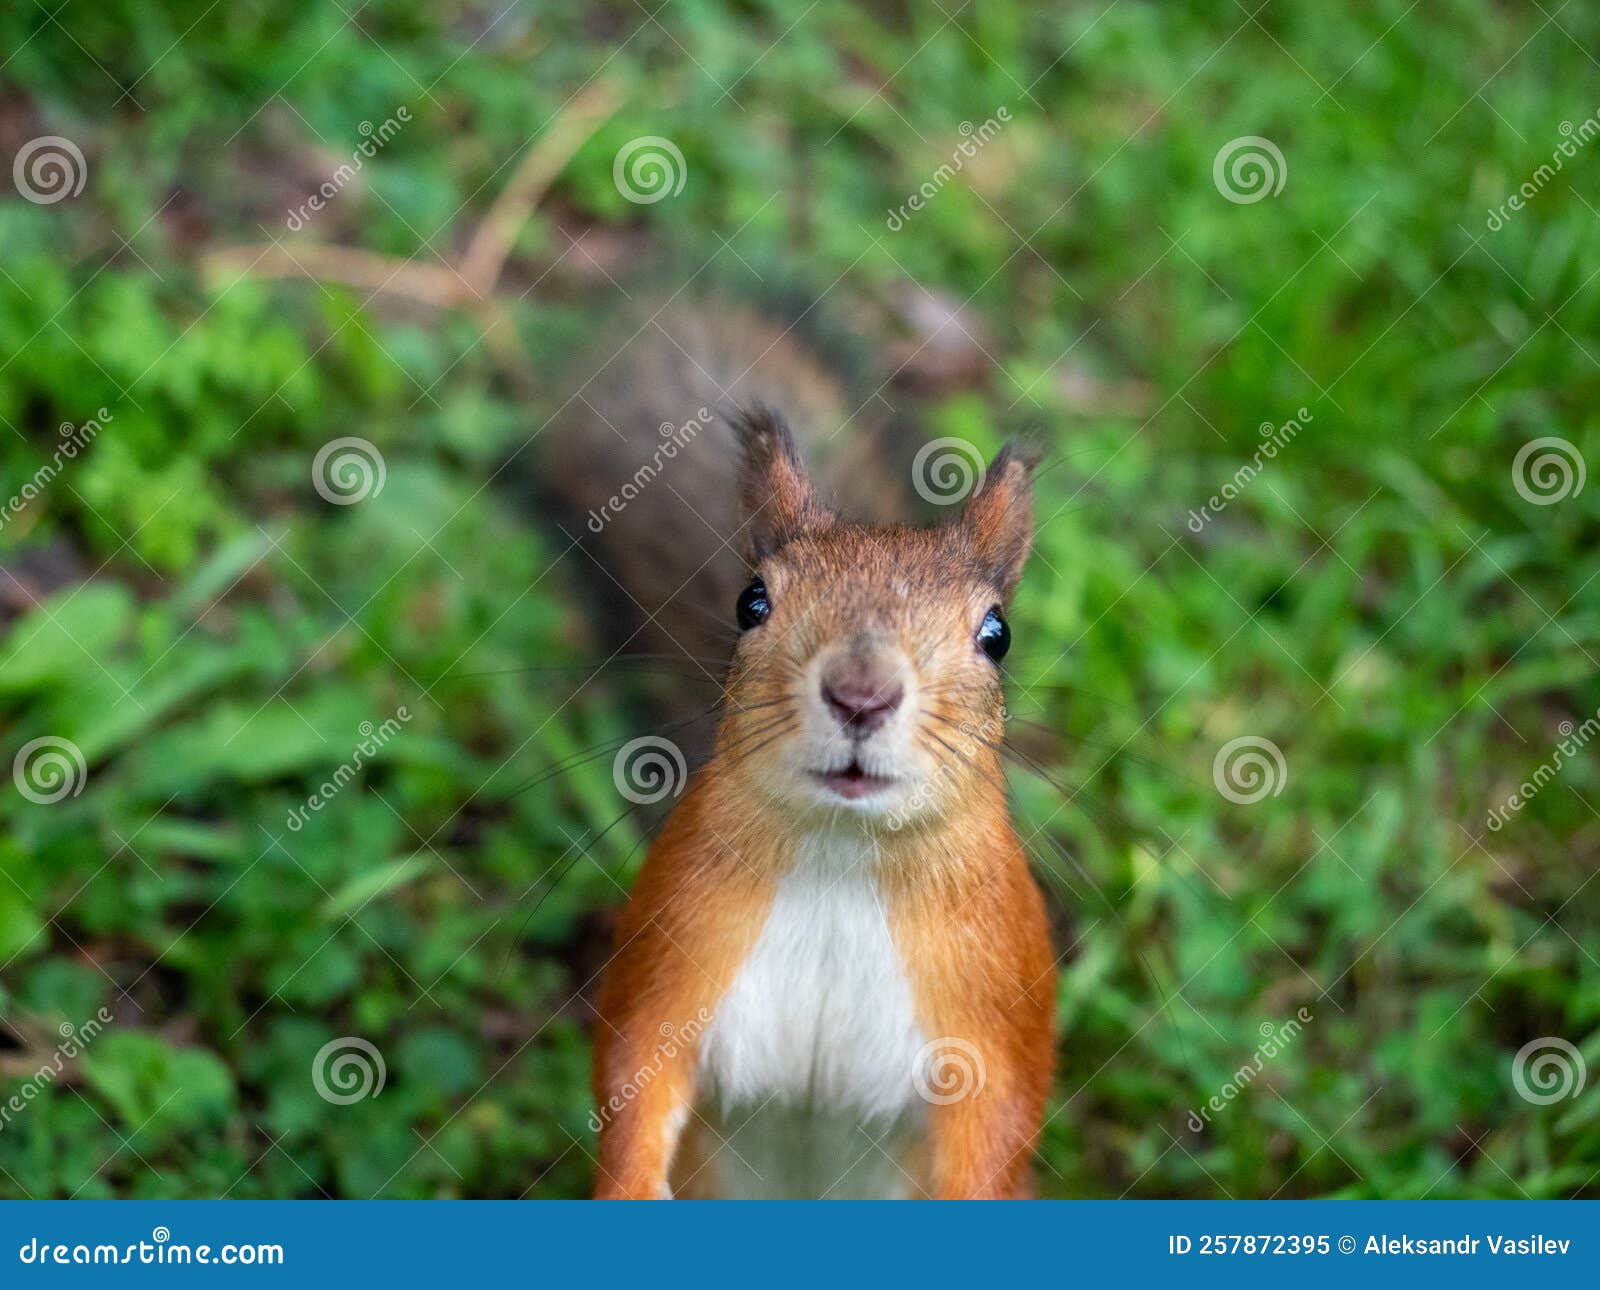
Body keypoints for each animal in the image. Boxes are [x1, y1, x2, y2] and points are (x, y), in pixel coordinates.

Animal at [535, 295, 1055, 1199]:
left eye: (998, 634)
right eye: (751, 602)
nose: (860, 695)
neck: (838, 858)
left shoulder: (992, 1004)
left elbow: (997, 1131)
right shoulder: (673, 956)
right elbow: (632, 1080)